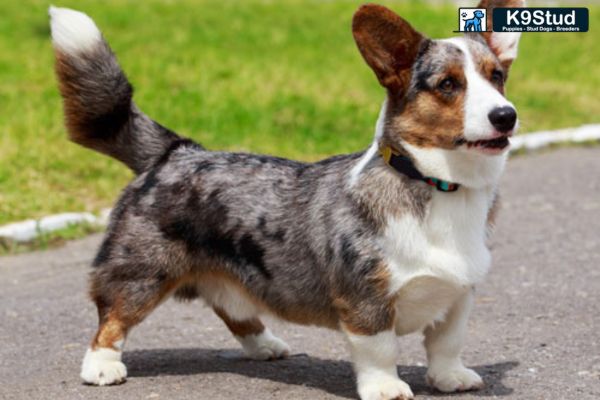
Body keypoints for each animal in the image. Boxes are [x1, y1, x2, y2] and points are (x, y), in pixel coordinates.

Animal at [49, 1, 524, 398]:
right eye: (448, 85)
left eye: (496, 76)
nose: (506, 116)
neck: (440, 184)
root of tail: (176, 151)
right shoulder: (365, 300)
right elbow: (380, 350)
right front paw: (386, 388)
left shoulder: (458, 294)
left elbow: (446, 342)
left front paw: (450, 378)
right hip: (143, 272)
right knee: (113, 317)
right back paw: (102, 366)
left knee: (232, 308)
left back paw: (266, 345)